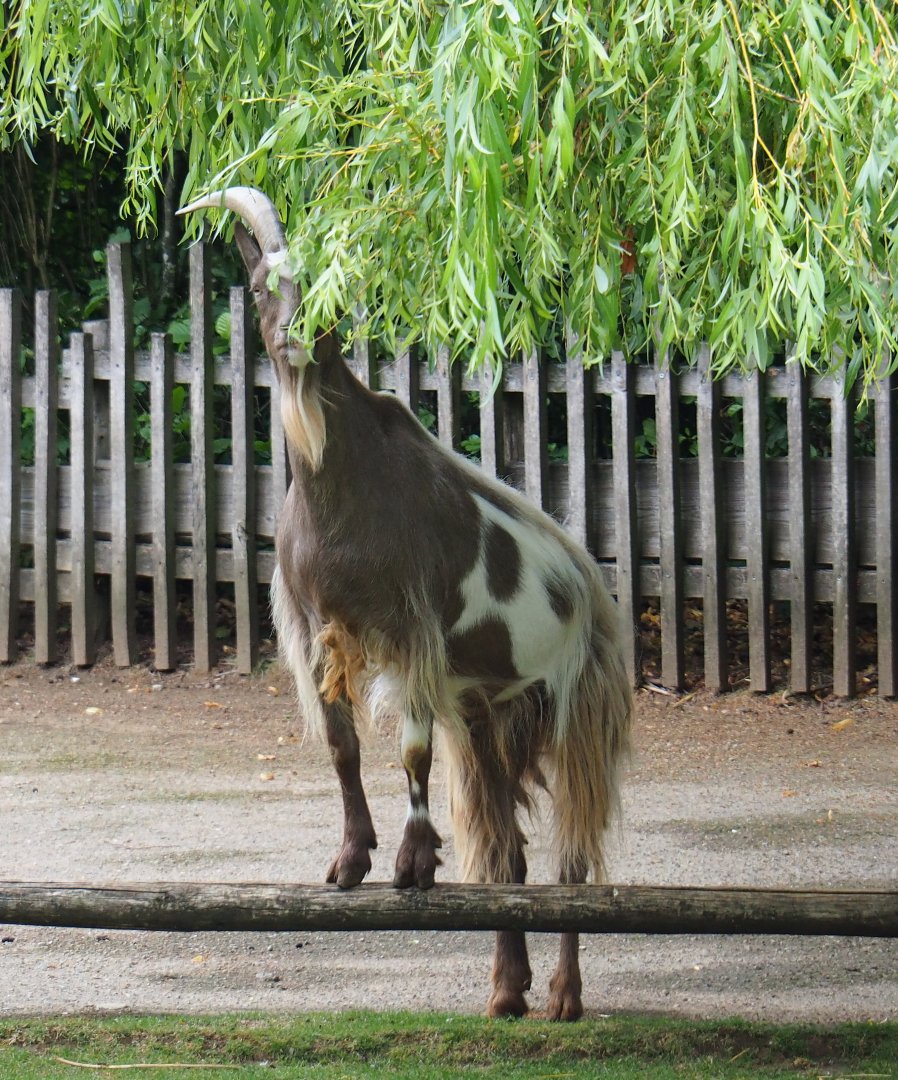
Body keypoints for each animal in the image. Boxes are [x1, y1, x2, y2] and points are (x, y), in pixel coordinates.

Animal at [179, 187, 633, 1020]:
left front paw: (413, 861)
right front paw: (350, 859)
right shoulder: (313, 630)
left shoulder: (411, 630)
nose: (294, 342)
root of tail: (595, 594)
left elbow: (411, 749)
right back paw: (506, 992)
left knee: (573, 859)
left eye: (331, 295)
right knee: (507, 856)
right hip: (489, 718)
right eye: (260, 286)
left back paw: (563, 997)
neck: (340, 490)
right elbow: (341, 746)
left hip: (575, 706)